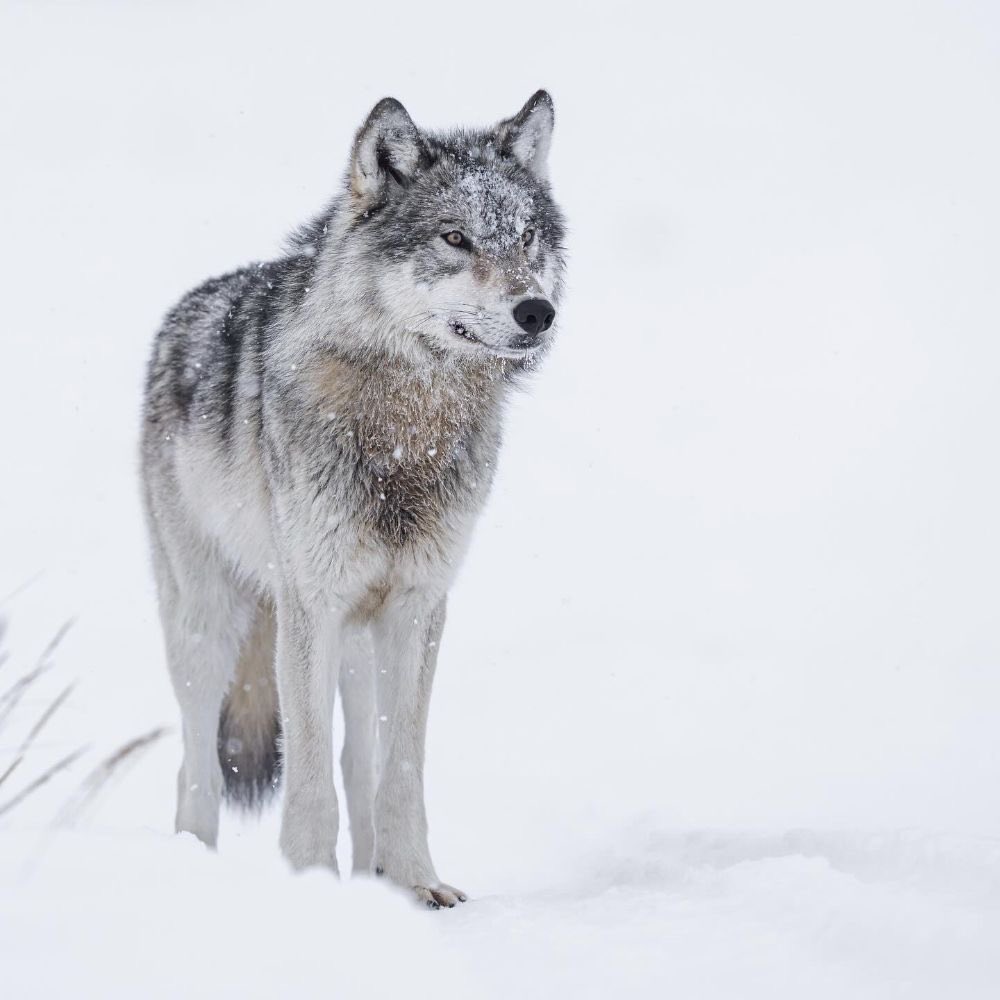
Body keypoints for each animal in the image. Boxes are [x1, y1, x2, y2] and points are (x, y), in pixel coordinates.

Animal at [140, 91, 566, 907]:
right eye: (456, 238)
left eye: (527, 237)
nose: (537, 312)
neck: (408, 422)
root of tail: (177, 318)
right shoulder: (311, 605)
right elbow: (306, 778)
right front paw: (310, 887)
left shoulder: (417, 607)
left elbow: (399, 771)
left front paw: (418, 883)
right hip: (209, 626)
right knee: (194, 765)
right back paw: (193, 867)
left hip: (358, 645)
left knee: (357, 760)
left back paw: (375, 881)